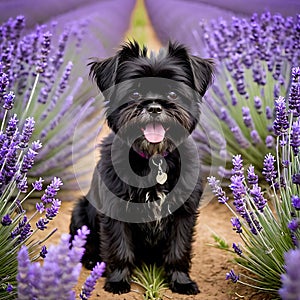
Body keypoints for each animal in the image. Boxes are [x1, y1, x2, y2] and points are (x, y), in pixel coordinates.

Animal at [70, 40, 213, 296]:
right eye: (135, 93)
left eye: (173, 93)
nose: (154, 107)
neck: (154, 159)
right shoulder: (116, 210)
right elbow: (120, 248)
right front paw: (118, 280)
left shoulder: (184, 212)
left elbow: (178, 249)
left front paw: (181, 281)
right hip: (80, 210)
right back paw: (91, 260)